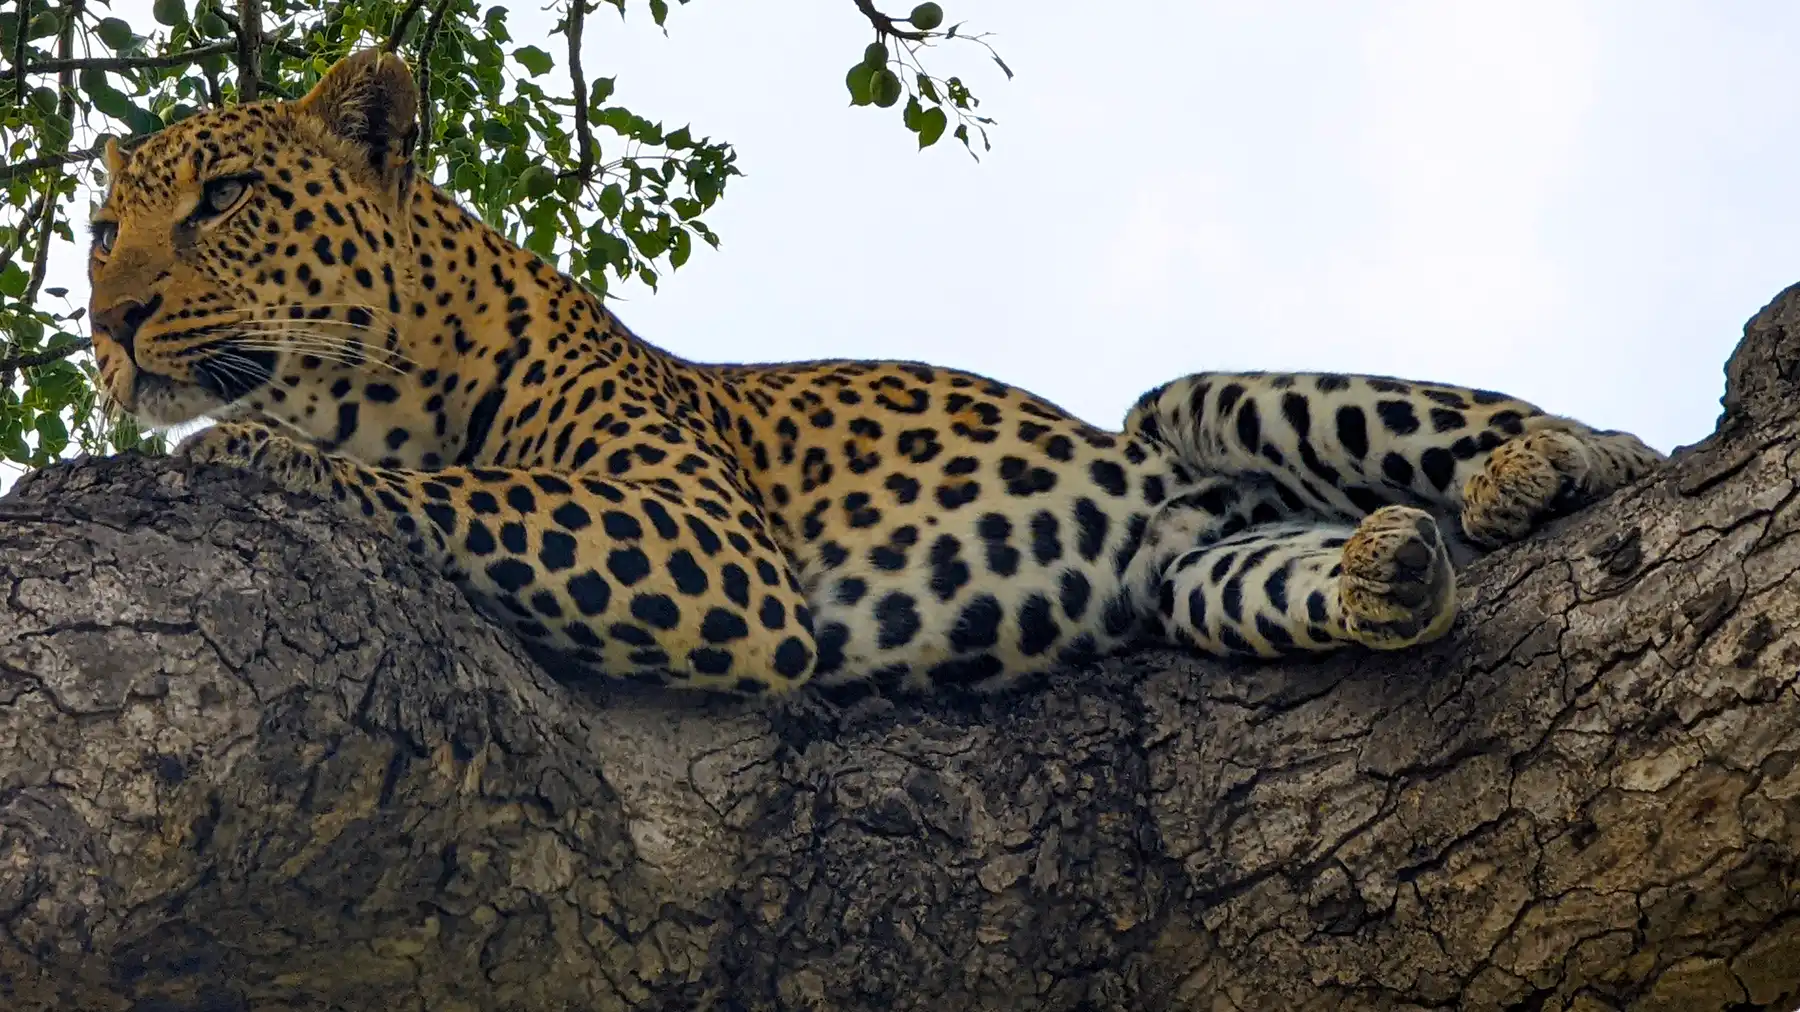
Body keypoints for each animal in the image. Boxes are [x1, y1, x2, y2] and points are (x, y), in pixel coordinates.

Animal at [84, 48, 1665, 697]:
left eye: (223, 198)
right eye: (102, 230)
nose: (110, 318)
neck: (365, 377)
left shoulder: (706, 542)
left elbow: (471, 492)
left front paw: (250, 455)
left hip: (1197, 405)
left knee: (1571, 437)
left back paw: (1543, 468)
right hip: (1197, 575)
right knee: (1307, 577)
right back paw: (1384, 570)